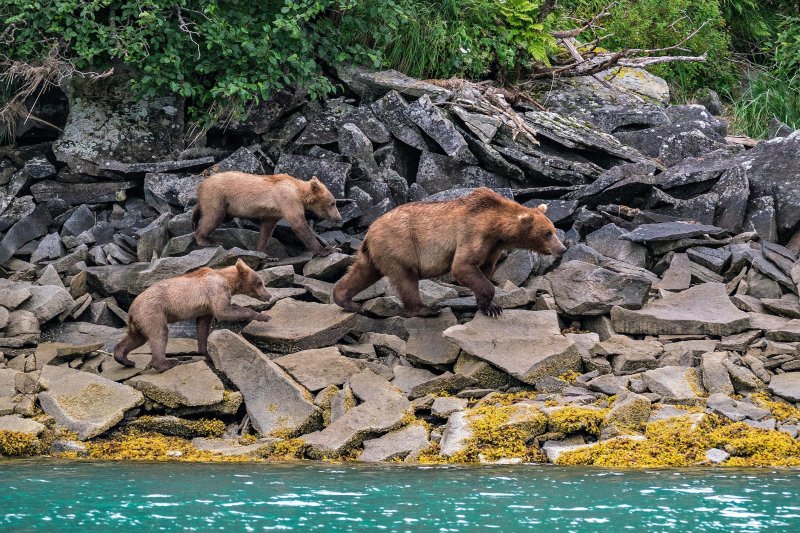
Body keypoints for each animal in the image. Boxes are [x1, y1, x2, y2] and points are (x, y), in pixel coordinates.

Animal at [113, 258, 272, 370]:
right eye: (260, 282)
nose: (269, 295)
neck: (229, 281)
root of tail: (132, 308)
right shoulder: (216, 290)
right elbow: (224, 311)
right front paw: (264, 316)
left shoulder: (206, 308)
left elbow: (203, 326)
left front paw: (207, 353)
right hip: (153, 311)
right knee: (159, 334)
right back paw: (168, 363)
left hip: (140, 320)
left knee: (136, 338)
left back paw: (126, 360)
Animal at [196, 171, 344, 258]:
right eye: (332, 203)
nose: (339, 218)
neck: (299, 192)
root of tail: (203, 182)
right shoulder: (287, 199)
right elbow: (299, 225)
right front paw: (329, 249)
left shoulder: (274, 212)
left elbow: (266, 229)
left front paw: (266, 253)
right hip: (217, 196)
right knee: (213, 216)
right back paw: (207, 240)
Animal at [332, 188, 564, 316]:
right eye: (547, 233)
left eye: (553, 229)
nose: (562, 248)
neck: (496, 226)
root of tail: (370, 230)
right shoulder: (472, 232)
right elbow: (462, 266)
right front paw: (492, 306)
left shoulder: (492, 246)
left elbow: (484, 269)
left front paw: (487, 305)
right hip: (399, 245)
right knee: (406, 278)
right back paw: (425, 309)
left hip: (375, 253)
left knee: (363, 272)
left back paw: (348, 301)